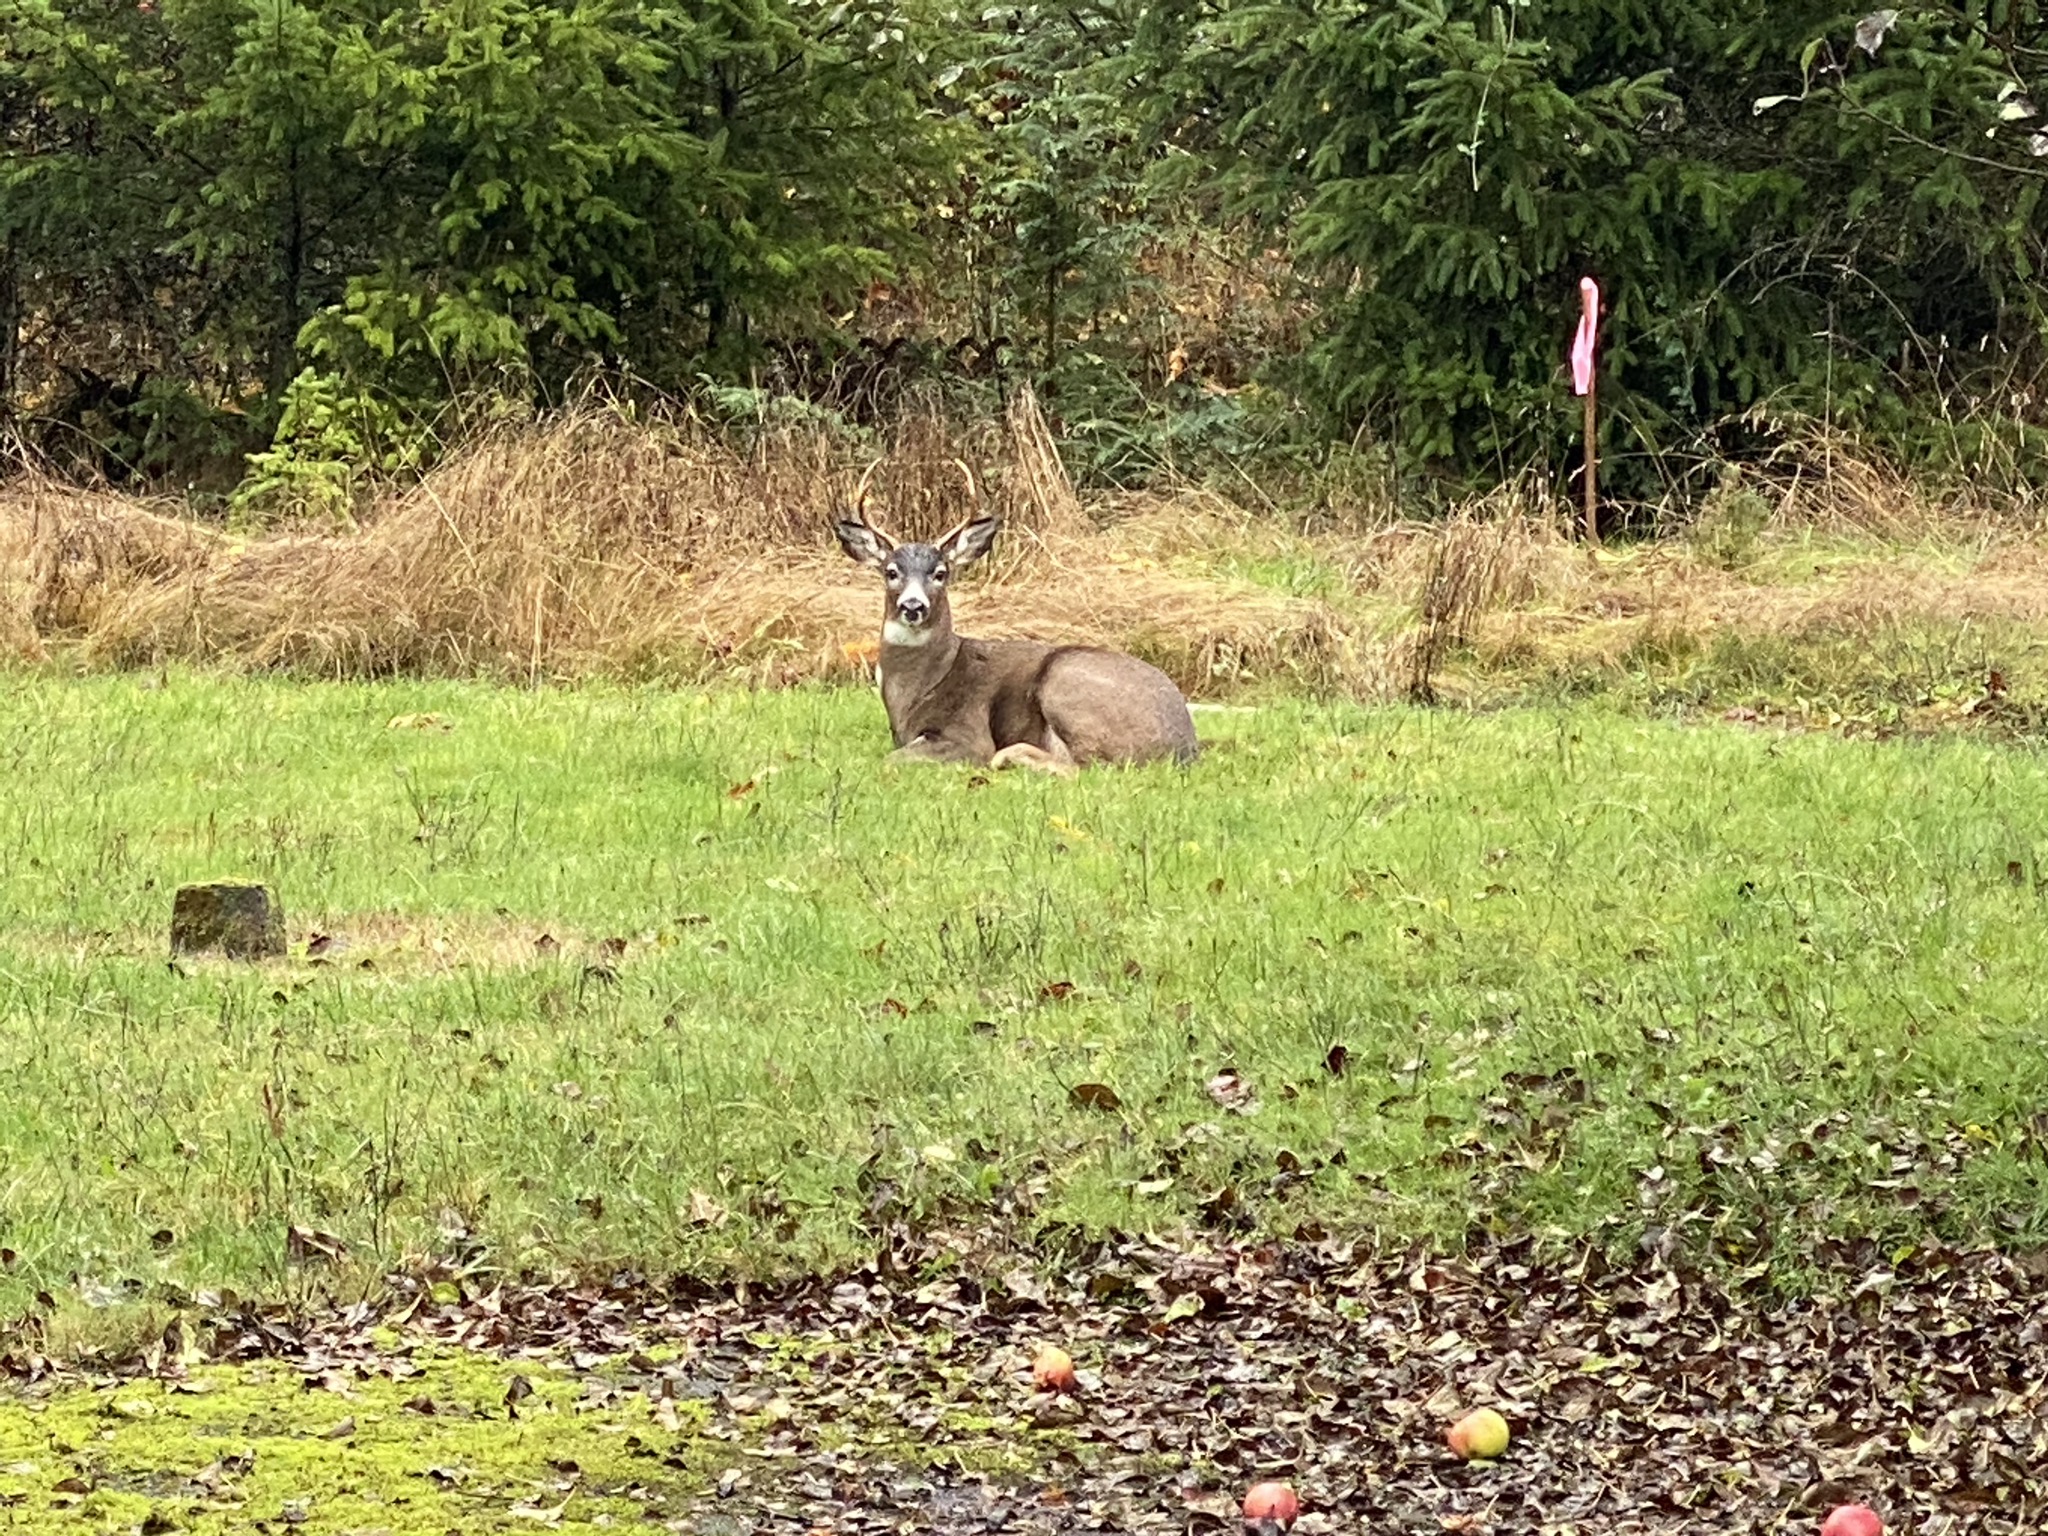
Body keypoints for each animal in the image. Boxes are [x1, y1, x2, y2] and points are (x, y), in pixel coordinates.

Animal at [834, 508, 1199, 776]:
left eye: (940, 573)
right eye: (891, 572)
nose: (913, 606)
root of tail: (1187, 747)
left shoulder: (968, 735)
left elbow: (889, 760)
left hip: (1063, 679)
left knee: (1086, 767)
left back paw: (1009, 756)